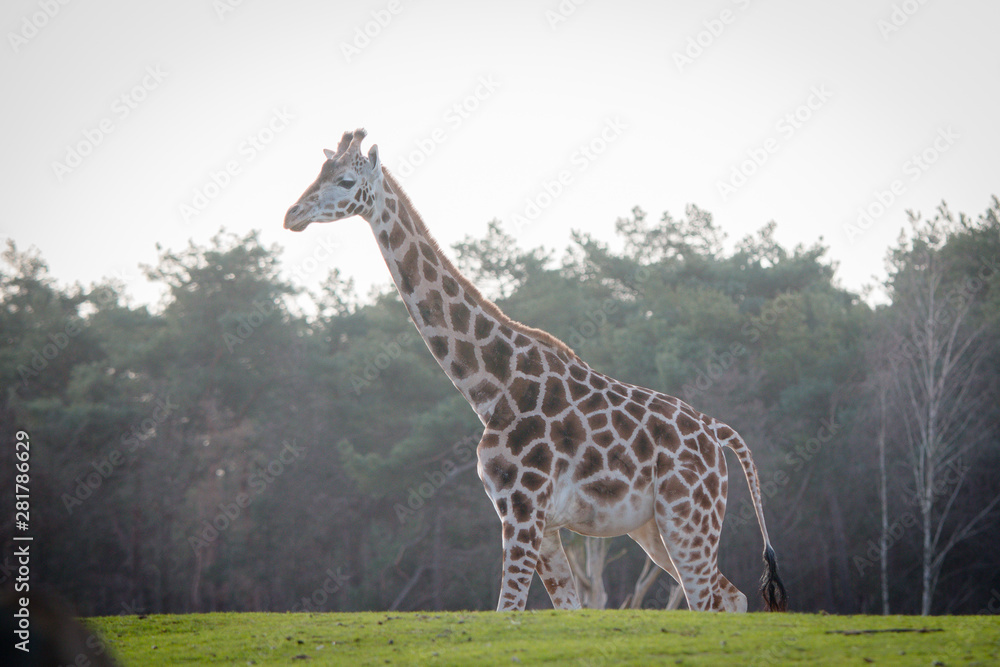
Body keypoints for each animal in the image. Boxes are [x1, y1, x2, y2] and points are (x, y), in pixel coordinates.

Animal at [283, 129, 788, 613]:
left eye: (346, 180)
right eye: (318, 172)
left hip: (688, 514)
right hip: (653, 526)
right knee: (730, 596)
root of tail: (718, 432)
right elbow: (567, 607)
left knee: (707, 598)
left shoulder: (523, 510)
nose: (292, 214)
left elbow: (507, 609)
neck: (490, 388)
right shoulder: (533, 520)